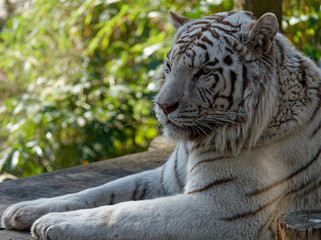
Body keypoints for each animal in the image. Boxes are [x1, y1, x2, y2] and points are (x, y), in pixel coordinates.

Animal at [1, 10, 320, 239]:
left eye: (204, 72)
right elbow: (100, 191)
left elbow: (126, 212)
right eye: (169, 66)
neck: (197, 143)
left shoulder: (220, 209)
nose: (163, 106)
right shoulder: (167, 179)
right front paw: (26, 209)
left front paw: (53, 223)